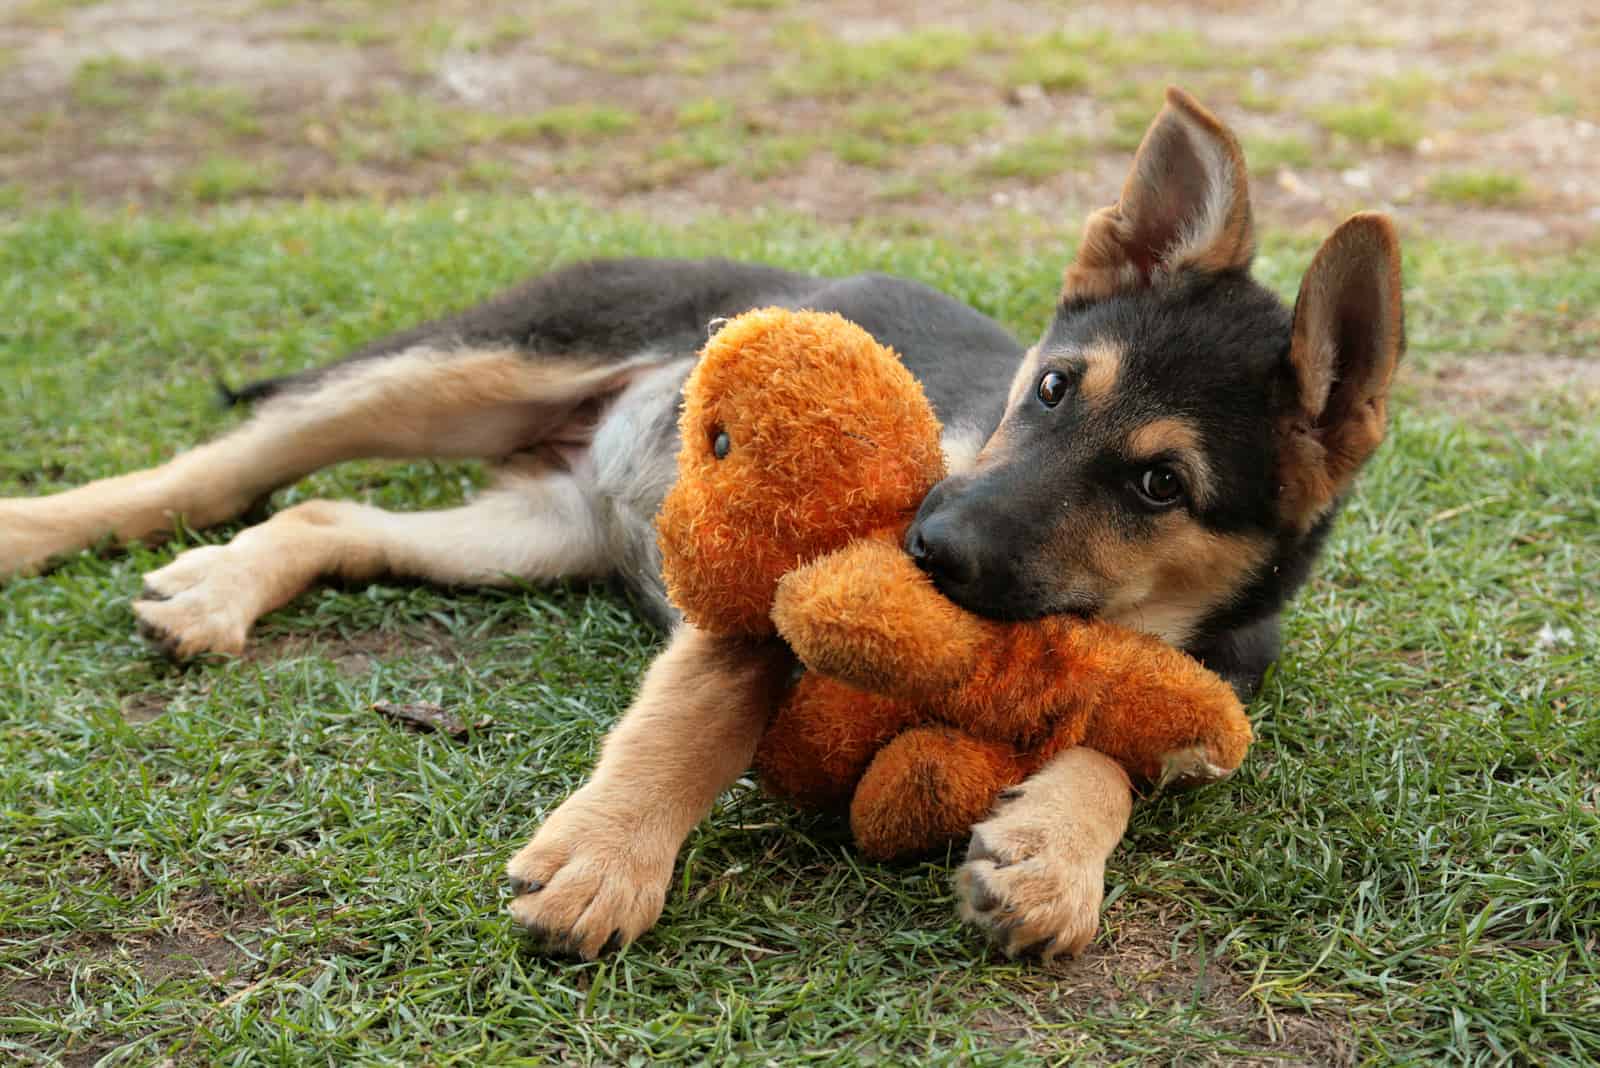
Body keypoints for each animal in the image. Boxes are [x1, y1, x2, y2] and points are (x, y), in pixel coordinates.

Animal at [0, 89, 1401, 959]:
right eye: (1053, 388)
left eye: (1161, 486)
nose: (926, 550)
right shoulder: (770, 585)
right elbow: (706, 706)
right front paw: (611, 857)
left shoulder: (1210, 677)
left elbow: (1124, 743)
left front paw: (1052, 855)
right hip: (473, 368)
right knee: (233, 465)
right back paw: (41, 528)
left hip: (539, 528)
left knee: (328, 511)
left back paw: (219, 590)